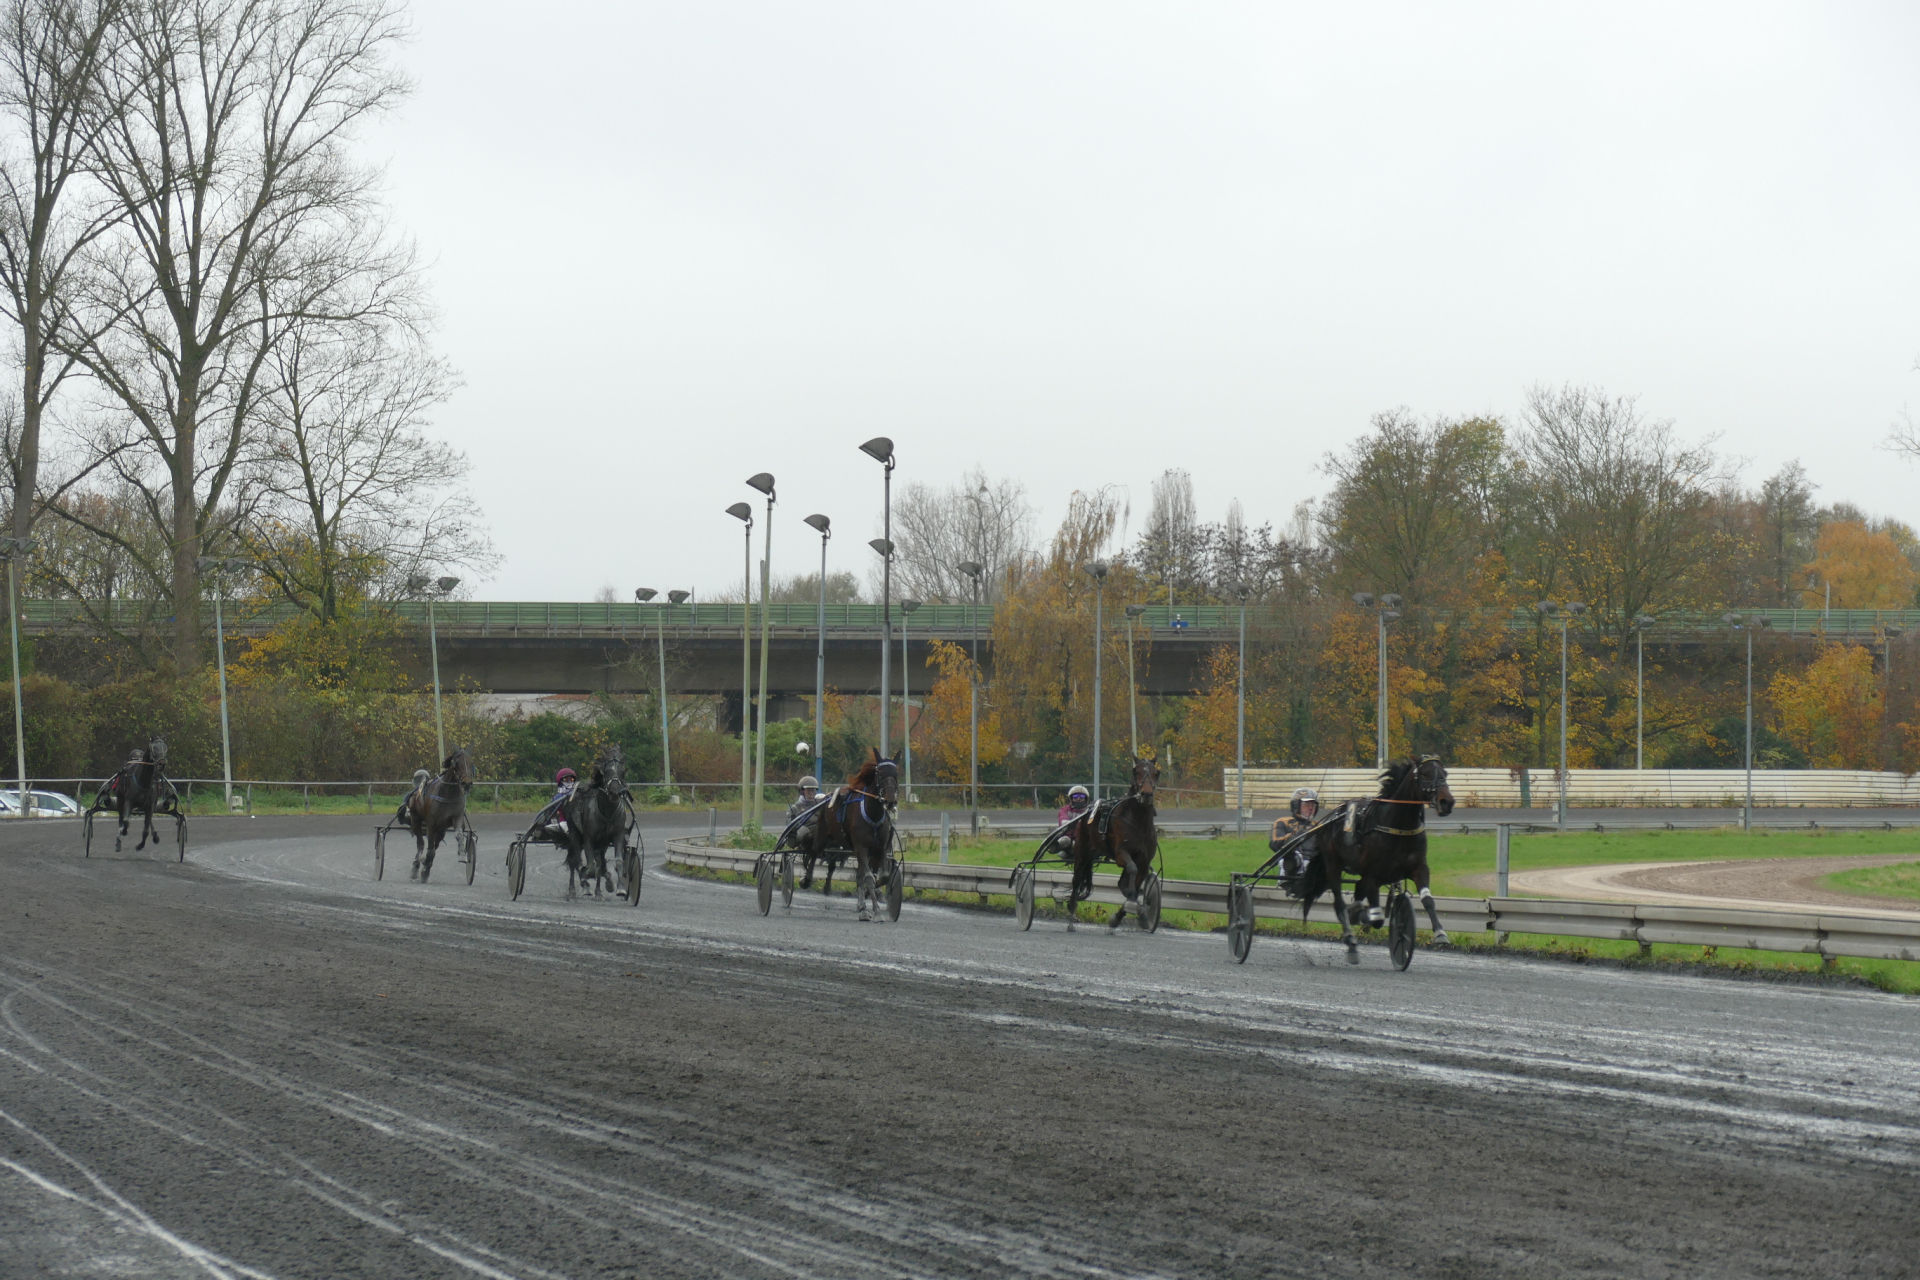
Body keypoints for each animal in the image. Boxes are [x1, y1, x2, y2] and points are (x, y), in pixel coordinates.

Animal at [401, 746, 474, 882]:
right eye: (457, 763)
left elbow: (459, 835)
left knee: (436, 842)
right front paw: (424, 868)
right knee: (421, 843)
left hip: (441, 828)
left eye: (471, 763)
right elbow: (430, 849)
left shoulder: (457, 817)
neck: (448, 795)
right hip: (416, 819)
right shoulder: (431, 823)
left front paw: (462, 854)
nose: (466, 783)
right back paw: (416, 867)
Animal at [557, 745, 631, 900]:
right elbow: (590, 868)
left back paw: (598, 890)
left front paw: (619, 888)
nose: (615, 792)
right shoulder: (588, 838)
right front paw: (586, 879)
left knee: (597, 861)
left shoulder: (617, 835)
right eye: (607, 771)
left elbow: (617, 862)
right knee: (574, 861)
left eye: (622, 770)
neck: (607, 811)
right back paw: (575, 889)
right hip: (574, 833)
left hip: (601, 842)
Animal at [814, 748, 898, 921]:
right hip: (822, 836)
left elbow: (882, 876)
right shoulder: (861, 847)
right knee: (811, 854)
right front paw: (877, 912)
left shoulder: (880, 848)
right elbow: (868, 878)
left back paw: (862, 906)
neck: (873, 815)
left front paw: (868, 901)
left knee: (859, 875)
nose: (890, 801)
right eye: (880, 773)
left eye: (896, 773)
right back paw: (805, 879)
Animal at [1065, 756, 1162, 931]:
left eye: (1156, 772)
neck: (1139, 822)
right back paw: (1071, 919)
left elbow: (1135, 884)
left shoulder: (1144, 860)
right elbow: (1131, 870)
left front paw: (1132, 915)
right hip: (1082, 852)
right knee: (1076, 881)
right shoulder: (1121, 853)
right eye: (1136, 771)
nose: (1146, 794)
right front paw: (1132, 904)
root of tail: (1088, 810)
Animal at [1296, 756, 1455, 965]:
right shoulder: (1373, 875)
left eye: (1445, 773)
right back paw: (1351, 941)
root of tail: (1329, 818)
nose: (1447, 802)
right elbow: (1377, 919)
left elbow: (1428, 900)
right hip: (1333, 865)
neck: (1398, 826)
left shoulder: (1419, 868)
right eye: (1426, 774)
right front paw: (1363, 919)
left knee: (1358, 889)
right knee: (1340, 904)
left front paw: (1440, 934)